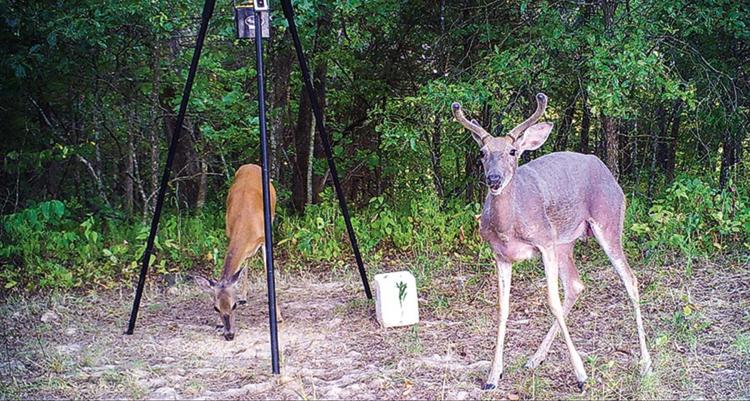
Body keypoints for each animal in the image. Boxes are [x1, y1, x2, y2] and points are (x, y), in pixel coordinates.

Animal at [195, 164, 281, 341]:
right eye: (216, 308)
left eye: (233, 306)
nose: (229, 335)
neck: (245, 221)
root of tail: (251, 165)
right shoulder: (229, 233)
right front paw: (219, 323)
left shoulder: (265, 239)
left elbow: (268, 272)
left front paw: (278, 316)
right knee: (246, 260)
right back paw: (244, 296)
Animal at [451, 93, 652, 391]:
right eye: (482, 153)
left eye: (513, 152)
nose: (494, 179)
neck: (509, 226)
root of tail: (609, 174)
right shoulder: (500, 255)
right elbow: (502, 307)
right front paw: (493, 376)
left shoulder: (544, 241)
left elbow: (552, 301)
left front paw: (581, 376)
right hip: (565, 242)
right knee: (576, 285)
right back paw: (535, 358)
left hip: (608, 221)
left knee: (630, 279)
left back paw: (646, 363)